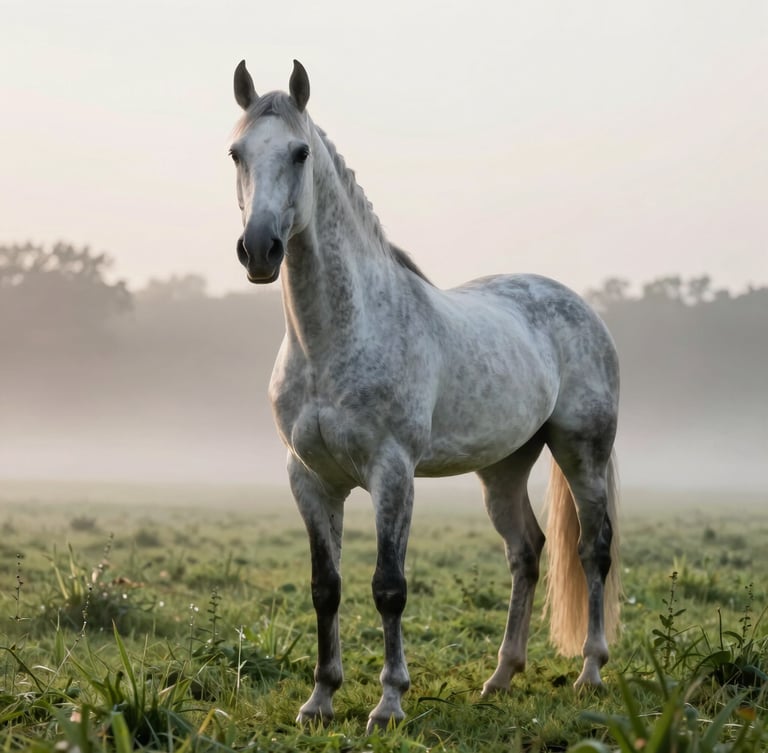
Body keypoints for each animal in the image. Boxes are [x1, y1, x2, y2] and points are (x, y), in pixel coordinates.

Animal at [228, 59, 621, 733]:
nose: (259, 250)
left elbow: (389, 586)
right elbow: (325, 587)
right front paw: (320, 699)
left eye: (300, 153)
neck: (336, 340)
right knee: (527, 552)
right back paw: (499, 678)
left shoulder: (392, 472)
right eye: (236, 153)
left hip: (581, 453)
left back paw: (589, 672)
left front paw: (388, 703)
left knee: (592, 550)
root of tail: (580, 308)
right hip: (503, 467)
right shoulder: (310, 477)